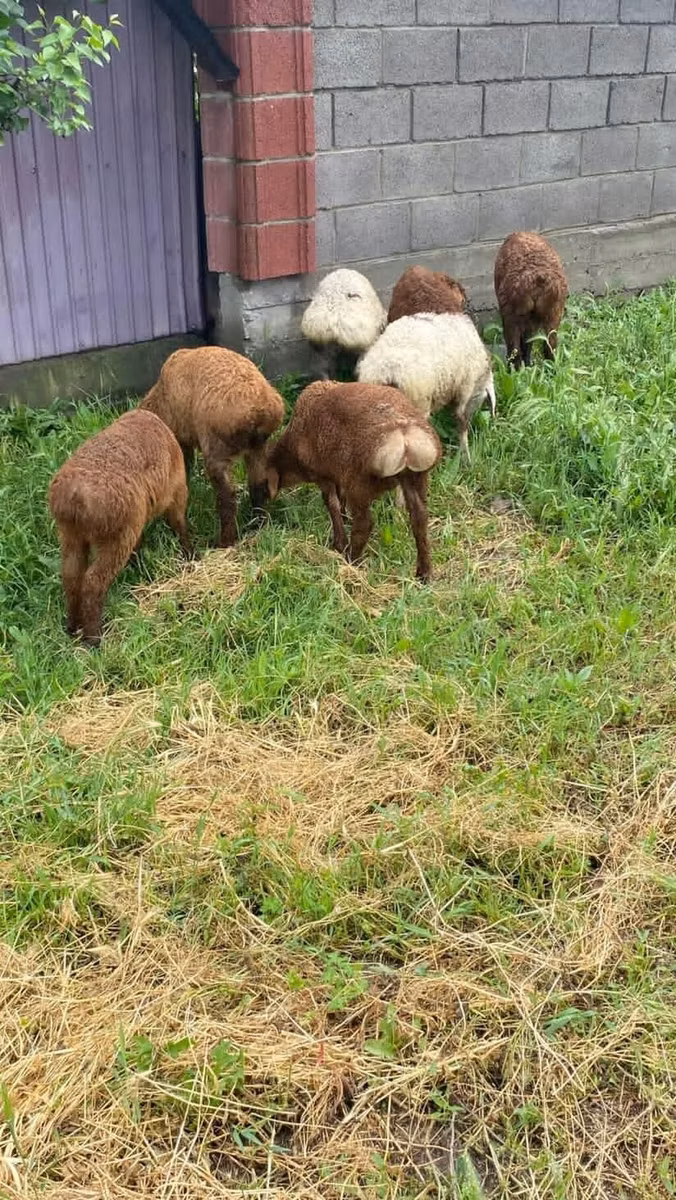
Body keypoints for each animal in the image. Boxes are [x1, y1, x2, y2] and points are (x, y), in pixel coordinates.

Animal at [48, 409, 193, 647]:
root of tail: (75, 497)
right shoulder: (177, 491)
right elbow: (180, 525)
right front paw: (191, 556)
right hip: (117, 535)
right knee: (93, 581)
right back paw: (94, 640)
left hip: (71, 535)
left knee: (71, 576)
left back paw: (73, 627)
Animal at [141, 346, 285, 546]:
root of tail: (260, 409)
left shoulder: (181, 438)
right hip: (257, 447)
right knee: (257, 486)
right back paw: (258, 525)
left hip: (216, 448)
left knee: (228, 498)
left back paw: (224, 542)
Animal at [260, 381, 442, 581]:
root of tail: (404, 436)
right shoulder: (337, 474)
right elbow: (340, 500)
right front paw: (344, 520)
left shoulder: (324, 476)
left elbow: (331, 503)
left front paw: (339, 543)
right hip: (414, 477)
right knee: (420, 518)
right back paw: (424, 573)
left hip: (361, 483)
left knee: (364, 524)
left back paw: (351, 560)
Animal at [494, 231, 568, 369]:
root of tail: (539, 279)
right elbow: (529, 341)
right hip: (554, 311)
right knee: (550, 346)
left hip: (511, 313)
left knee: (515, 350)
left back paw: (514, 371)